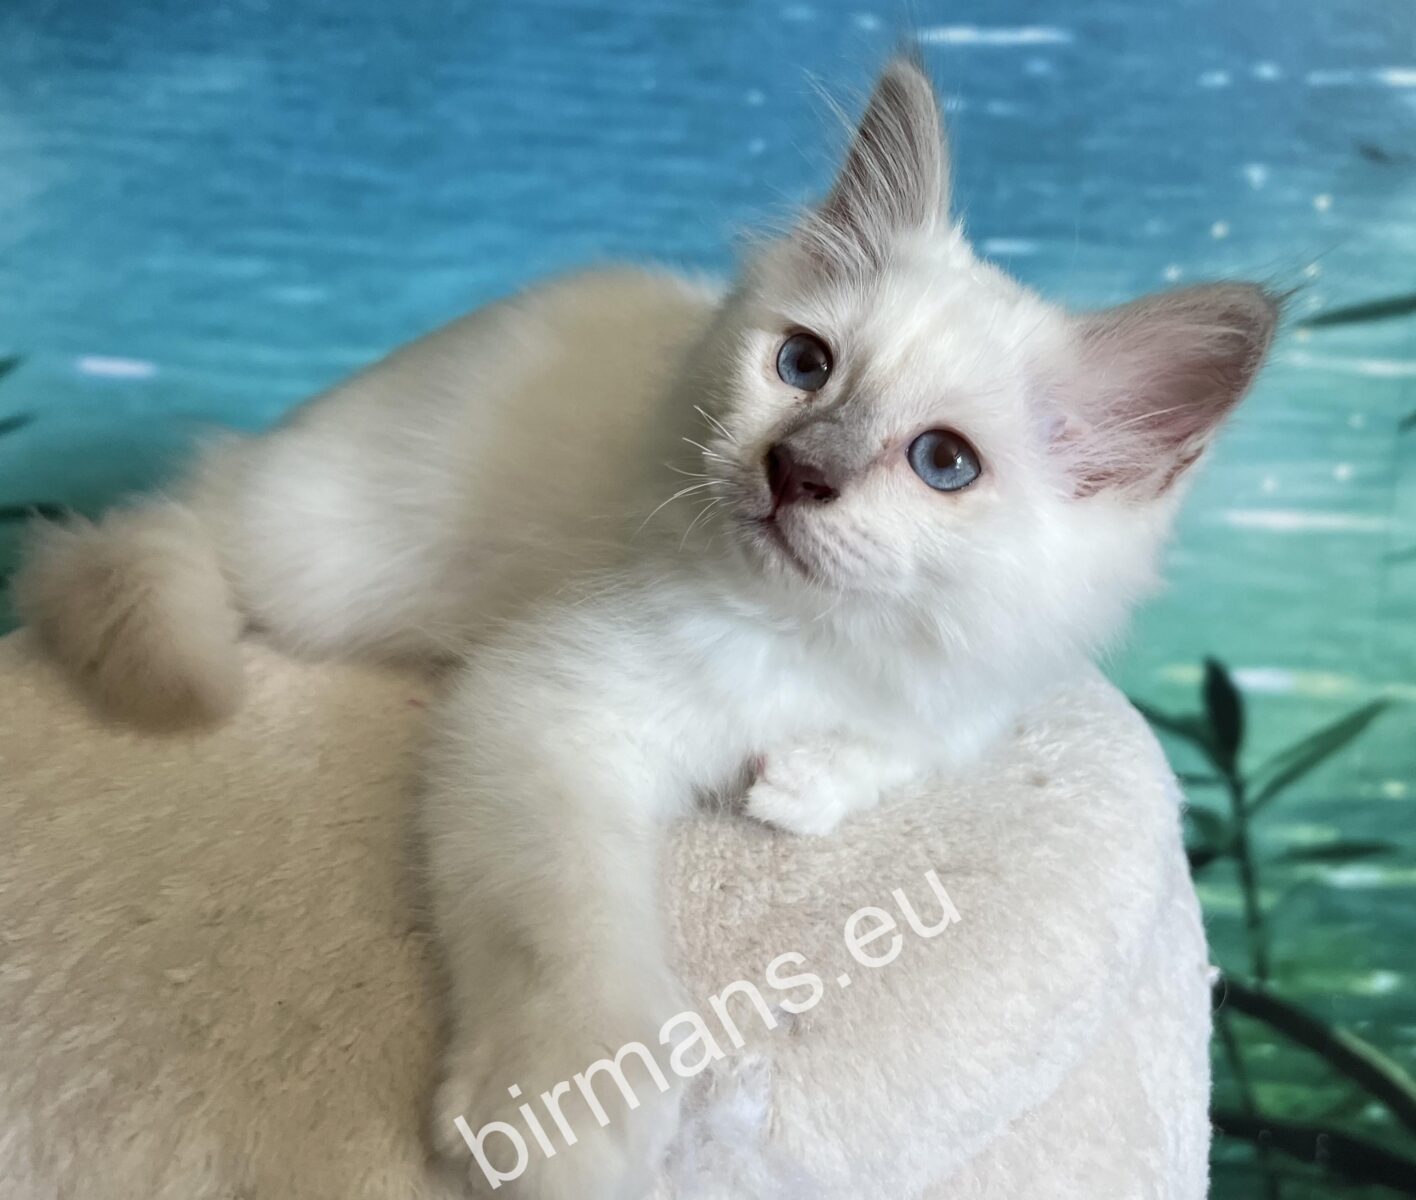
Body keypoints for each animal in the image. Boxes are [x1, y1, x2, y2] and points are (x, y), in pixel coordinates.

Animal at [15, 57, 1276, 1199]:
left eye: (943, 464)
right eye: (803, 364)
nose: (795, 470)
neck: (819, 637)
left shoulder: (975, 699)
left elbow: (893, 754)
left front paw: (795, 785)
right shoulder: (546, 707)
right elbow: (563, 936)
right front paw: (558, 1129)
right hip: (317, 560)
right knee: (153, 532)